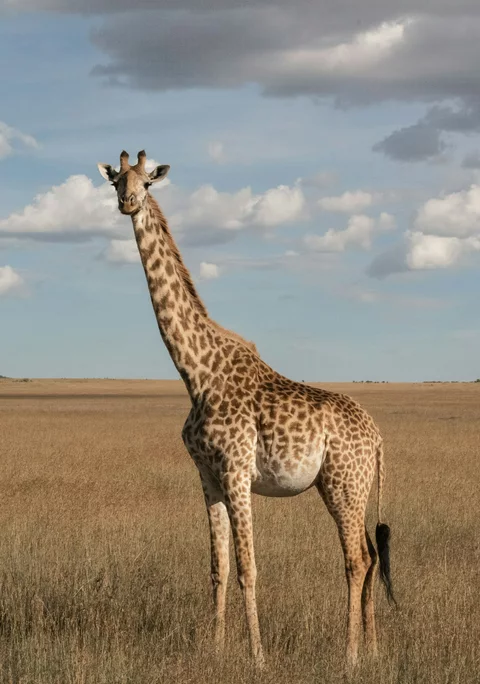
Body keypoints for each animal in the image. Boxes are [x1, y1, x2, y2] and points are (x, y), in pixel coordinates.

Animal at [97, 150, 395, 671]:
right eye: (116, 180)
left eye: (148, 182)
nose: (127, 203)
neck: (195, 372)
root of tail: (377, 438)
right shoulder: (208, 476)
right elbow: (218, 567)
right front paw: (214, 649)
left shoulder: (237, 471)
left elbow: (248, 569)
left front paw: (258, 658)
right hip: (344, 486)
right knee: (371, 555)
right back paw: (373, 650)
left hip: (345, 484)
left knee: (357, 559)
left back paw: (350, 655)